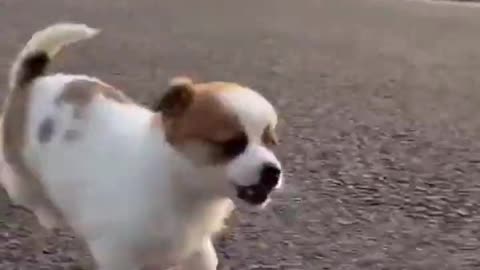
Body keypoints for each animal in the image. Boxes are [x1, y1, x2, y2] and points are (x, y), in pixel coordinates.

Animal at [0, 23, 284, 270]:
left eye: (270, 142)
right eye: (232, 144)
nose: (273, 171)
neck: (179, 185)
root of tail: (31, 82)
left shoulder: (196, 249)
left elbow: (204, 259)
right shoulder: (117, 253)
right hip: (21, 173)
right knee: (28, 193)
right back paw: (50, 215)